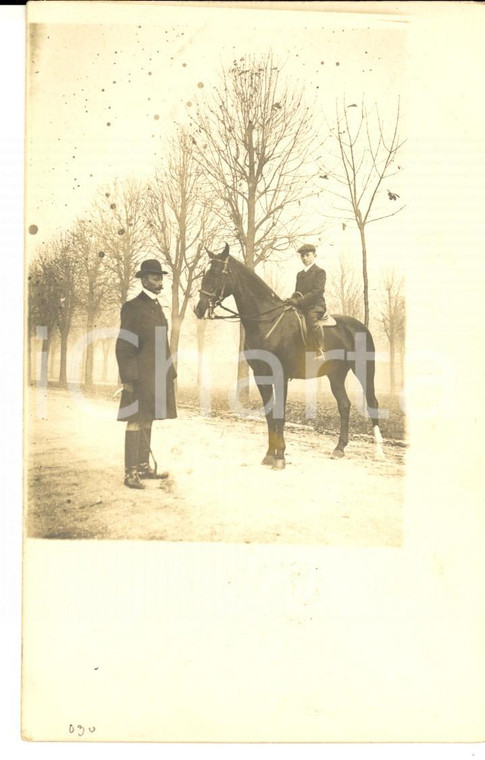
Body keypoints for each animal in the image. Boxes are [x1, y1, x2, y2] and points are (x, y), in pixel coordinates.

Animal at [193, 246, 382, 466]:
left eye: (215, 273)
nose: (199, 308)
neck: (266, 320)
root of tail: (360, 326)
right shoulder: (261, 375)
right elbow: (269, 414)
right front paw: (269, 454)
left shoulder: (280, 375)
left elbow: (280, 415)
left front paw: (280, 456)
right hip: (335, 375)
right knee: (344, 405)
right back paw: (339, 448)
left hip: (364, 369)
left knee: (372, 403)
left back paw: (379, 451)